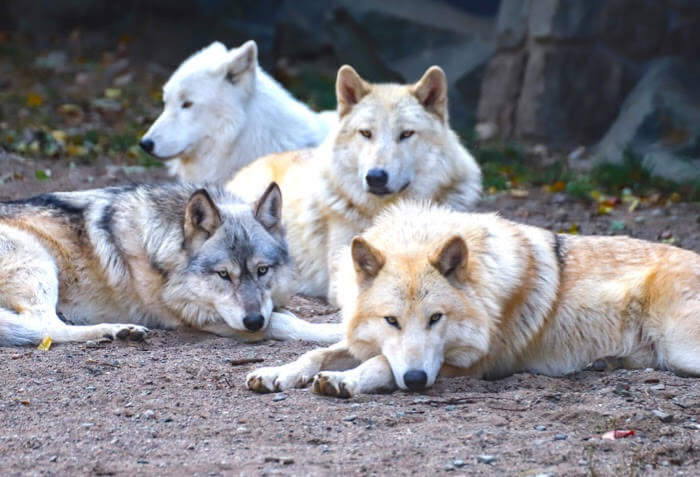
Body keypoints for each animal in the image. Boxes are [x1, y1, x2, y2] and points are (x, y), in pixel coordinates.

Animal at [0, 183, 340, 346]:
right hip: (39, 264)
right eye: (223, 275)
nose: (254, 321)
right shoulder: (200, 319)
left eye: (262, 270)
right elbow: (287, 322)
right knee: (45, 327)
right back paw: (116, 331)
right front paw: (335, 332)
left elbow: (283, 312)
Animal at [247, 201, 700, 397]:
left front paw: (344, 381)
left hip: (681, 348)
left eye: (436, 319)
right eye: (392, 321)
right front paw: (275, 372)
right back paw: (606, 363)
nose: (416, 380)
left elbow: (380, 364)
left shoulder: (471, 365)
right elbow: (318, 353)